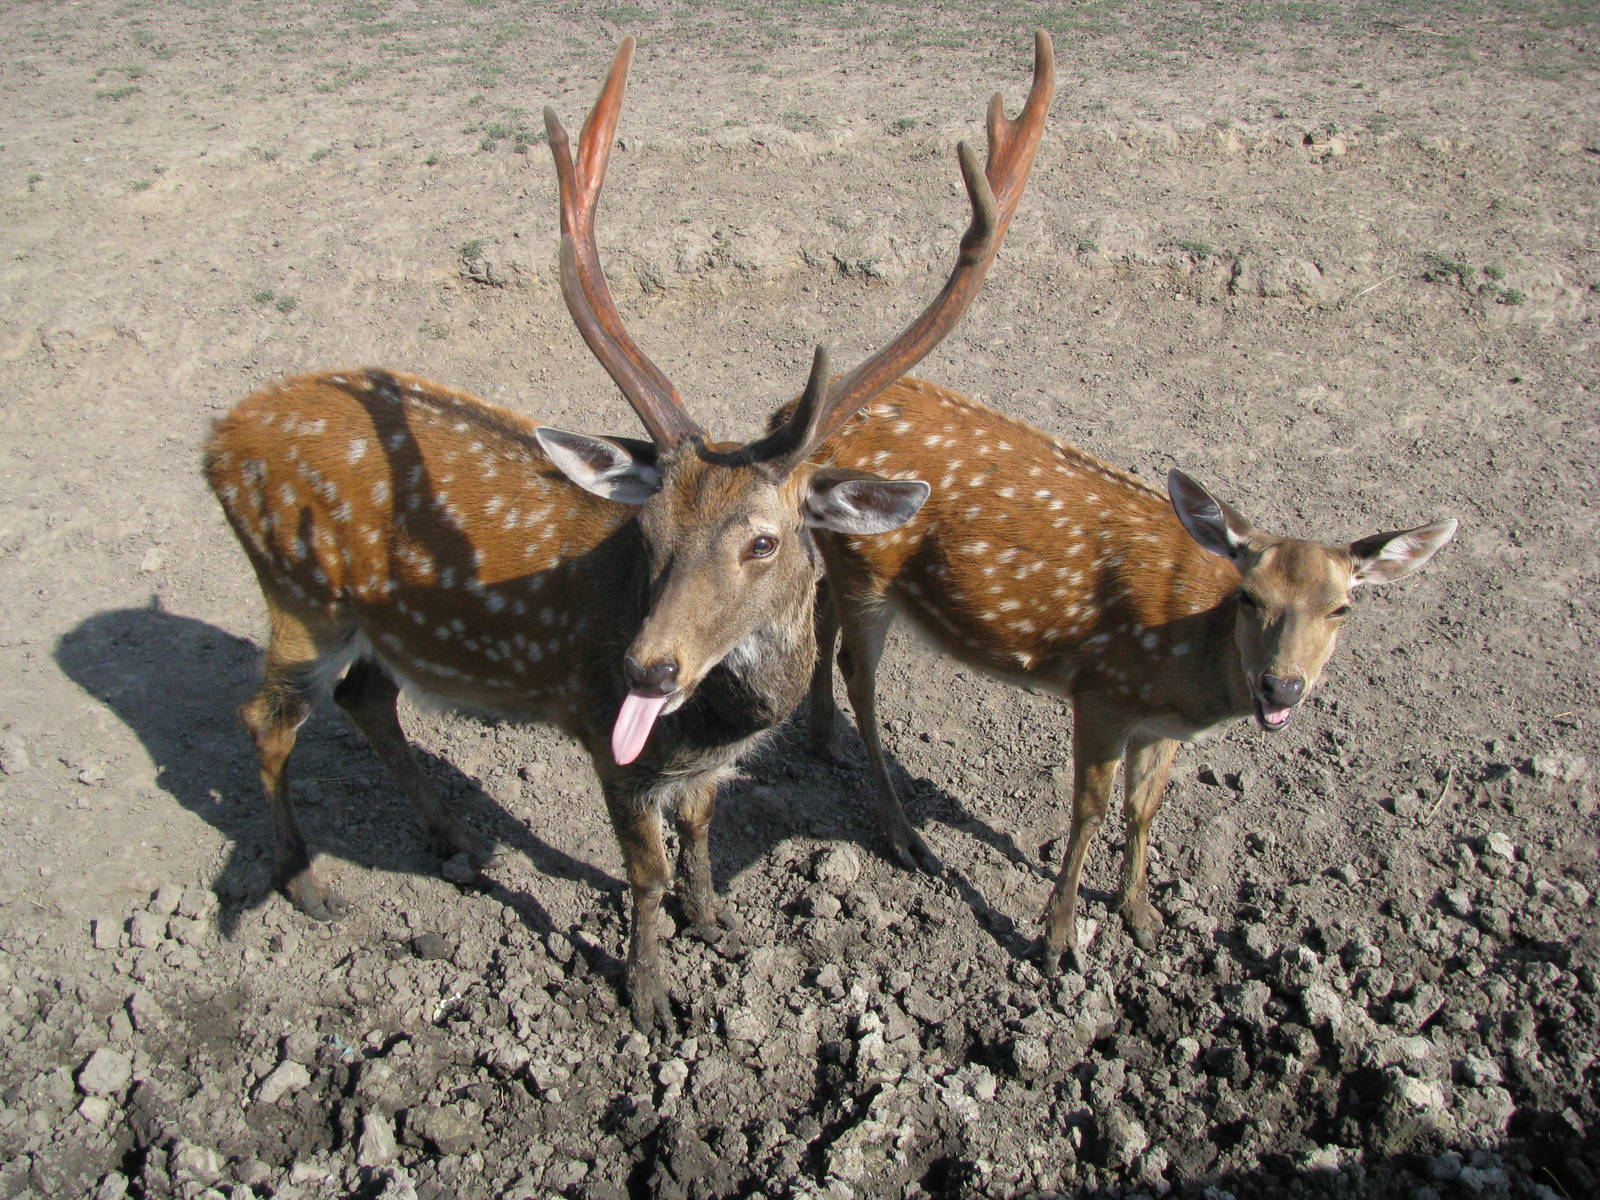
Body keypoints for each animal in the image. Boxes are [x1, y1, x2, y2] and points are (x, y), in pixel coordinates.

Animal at [202, 34, 1054, 1032]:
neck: (714, 728)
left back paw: (456, 842)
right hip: (297, 594)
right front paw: (650, 994)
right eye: (646, 528)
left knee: (366, 698)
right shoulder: (607, 745)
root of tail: (213, 442)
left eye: (763, 540)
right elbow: (642, 877)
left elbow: (702, 837)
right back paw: (306, 883)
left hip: (359, 621)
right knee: (266, 718)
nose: (645, 669)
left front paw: (717, 923)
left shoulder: (703, 770)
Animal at [803, 380, 1457, 972]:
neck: (1192, 670)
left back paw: (825, 736)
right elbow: (1089, 810)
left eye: (1342, 608)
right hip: (867, 571)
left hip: (847, 566)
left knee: (820, 605)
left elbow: (1144, 807)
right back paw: (903, 834)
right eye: (1249, 596)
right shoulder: (1104, 690)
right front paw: (1057, 942)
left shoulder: (1158, 723)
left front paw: (1142, 916)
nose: (1282, 686)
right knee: (858, 675)